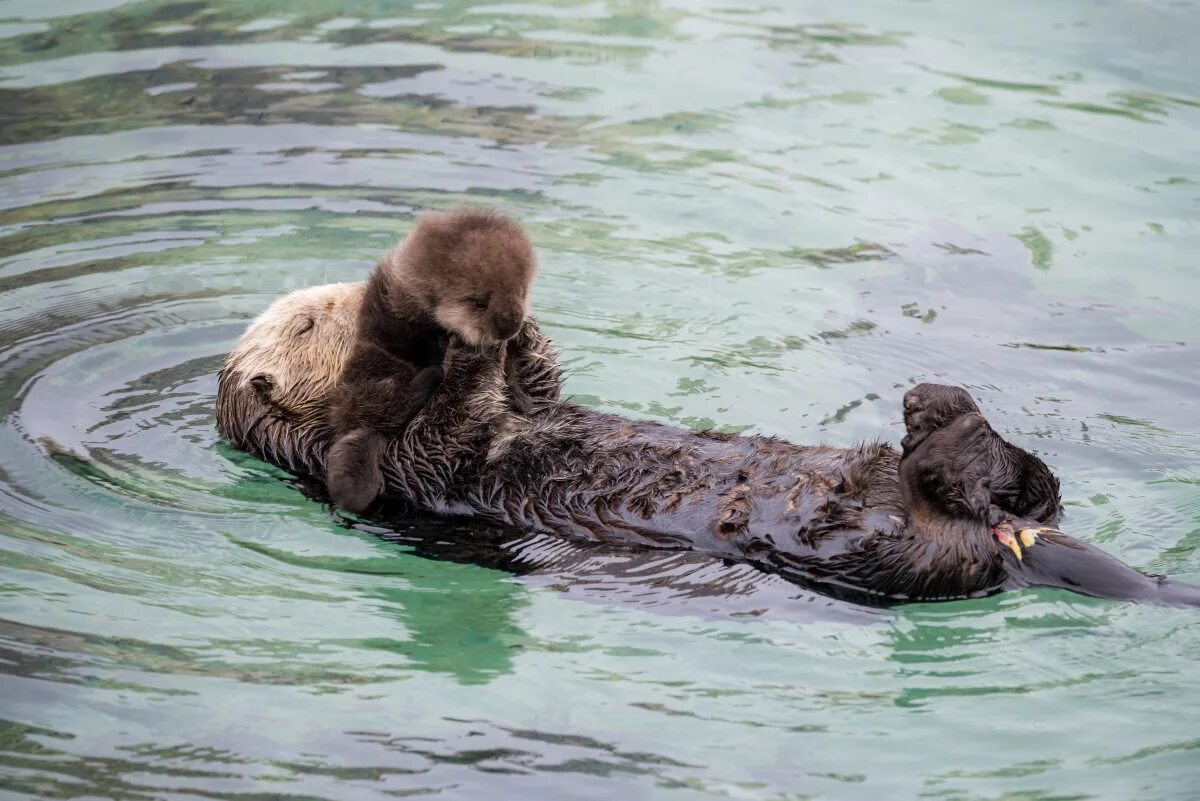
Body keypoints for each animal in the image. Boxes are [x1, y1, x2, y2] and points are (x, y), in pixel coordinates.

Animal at [216, 282, 1200, 606]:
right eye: (308, 322)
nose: (372, 297)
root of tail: (1008, 550)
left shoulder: (524, 404)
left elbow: (538, 385)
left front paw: (509, 324)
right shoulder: (391, 465)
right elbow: (449, 430)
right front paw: (467, 346)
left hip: (1004, 510)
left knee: (1038, 485)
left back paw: (943, 410)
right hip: (869, 548)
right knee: (922, 524)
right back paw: (938, 439)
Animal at [326, 208, 537, 513]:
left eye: (521, 292)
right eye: (479, 303)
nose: (508, 327)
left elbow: (510, 365)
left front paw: (520, 395)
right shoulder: (401, 314)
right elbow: (413, 340)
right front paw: (440, 350)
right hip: (371, 374)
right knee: (387, 407)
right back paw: (430, 377)